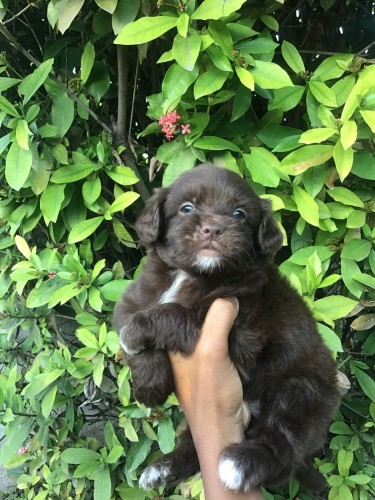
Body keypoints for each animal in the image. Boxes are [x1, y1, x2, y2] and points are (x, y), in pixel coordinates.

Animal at [113, 164, 340, 492]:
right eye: (187, 208)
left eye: (239, 214)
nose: (212, 228)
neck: (194, 275)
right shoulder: (134, 298)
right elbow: (134, 324)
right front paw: (149, 386)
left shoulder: (238, 336)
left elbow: (174, 313)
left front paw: (136, 332)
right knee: (195, 444)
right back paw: (163, 469)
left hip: (300, 393)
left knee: (283, 448)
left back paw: (241, 465)